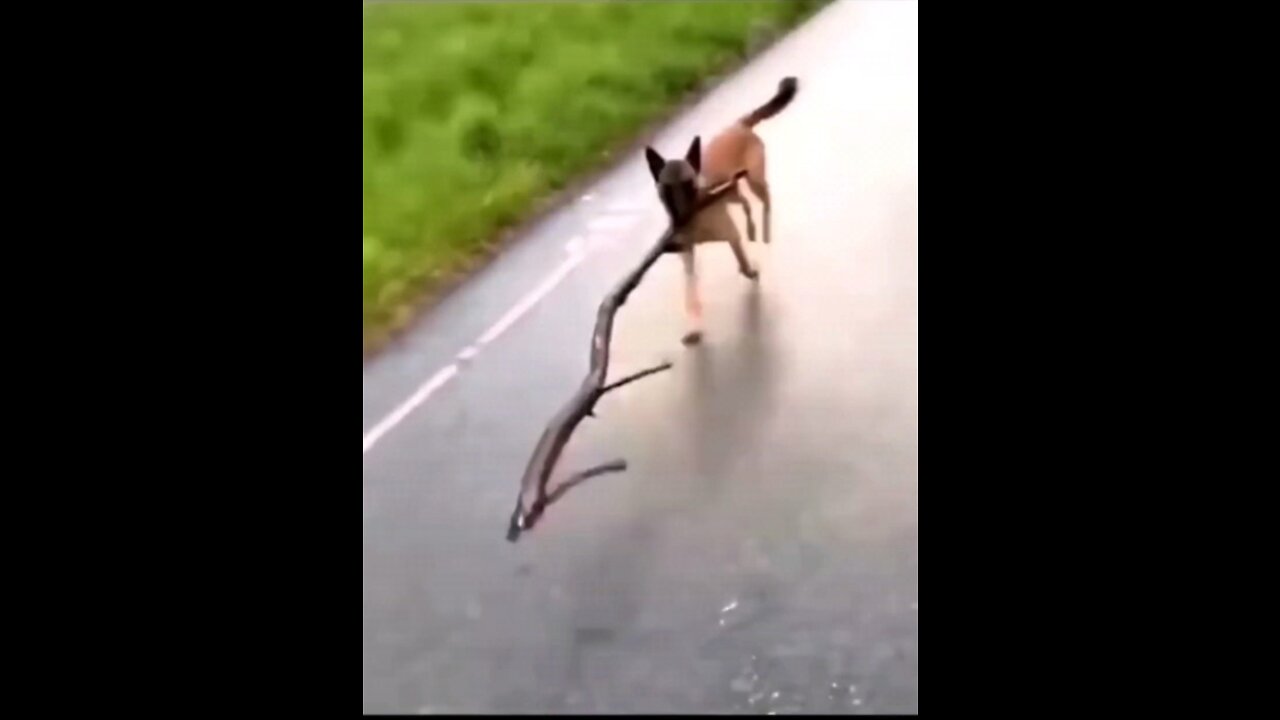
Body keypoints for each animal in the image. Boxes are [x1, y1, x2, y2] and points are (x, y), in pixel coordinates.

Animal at [645, 75, 793, 345]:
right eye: (666, 191)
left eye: (689, 186)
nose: (678, 225)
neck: (697, 216)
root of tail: (739, 125)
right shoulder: (688, 256)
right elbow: (691, 293)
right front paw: (694, 328)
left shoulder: (730, 235)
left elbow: (742, 261)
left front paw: (750, 271)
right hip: (732, 192)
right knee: (745, 203)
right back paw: (752, 229)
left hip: (755, 181)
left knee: (766, 201)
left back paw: (764, 231)